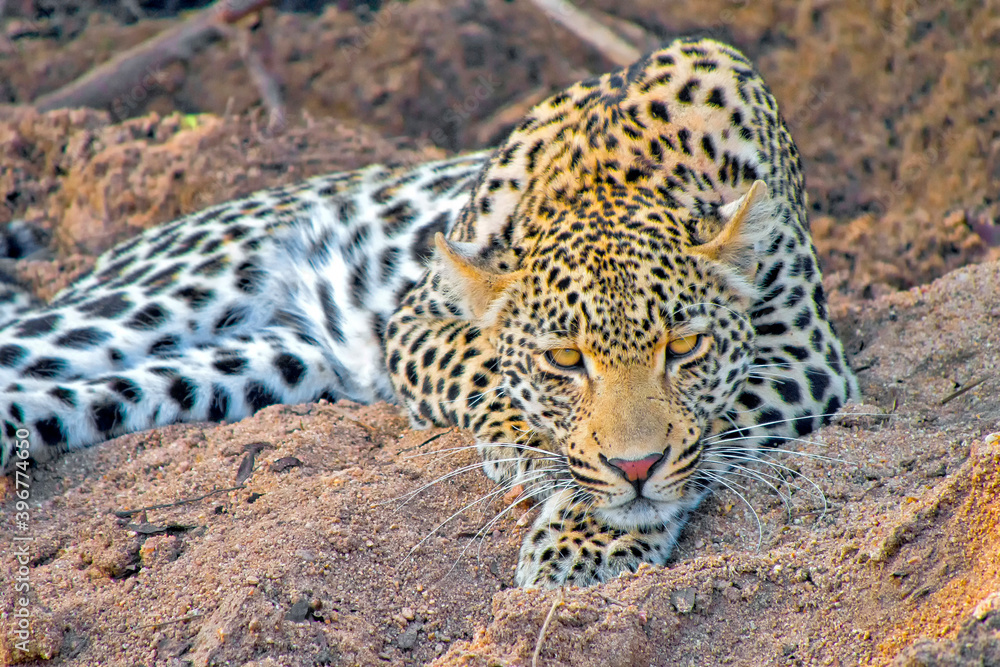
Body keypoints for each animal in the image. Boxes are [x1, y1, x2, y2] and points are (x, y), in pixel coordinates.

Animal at [0, 37, 857, 588]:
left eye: (684, 347)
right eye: (564, 359)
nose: (636, 468)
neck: (619, 170)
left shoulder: (807, 354)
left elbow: (716, 425)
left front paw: (587, 534)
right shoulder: (415, 321)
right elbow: (482, 363)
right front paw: (542, 455)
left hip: (239, 369)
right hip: (143, 301)